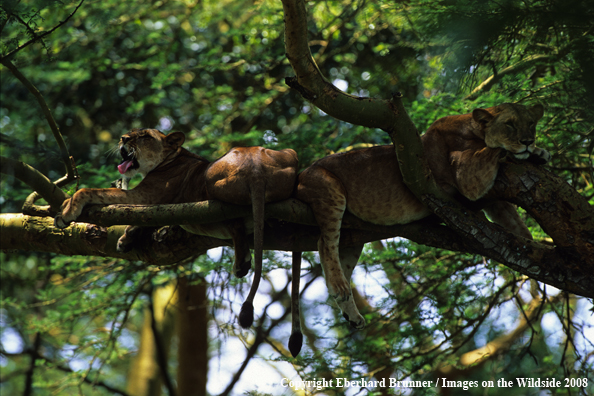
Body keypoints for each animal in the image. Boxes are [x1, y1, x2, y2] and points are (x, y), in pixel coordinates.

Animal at [55, 127, 296, 328]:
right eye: (131, 132)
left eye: (144, 136)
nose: (123, 138)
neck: (168, 159)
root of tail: (257, 170)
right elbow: (143, 222)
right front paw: (125, 240)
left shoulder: (144, 197)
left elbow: (90, 190)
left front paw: (66, 211)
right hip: (290, 153)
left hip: (212, 178)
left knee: (234, 217)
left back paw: (241, 262)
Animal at [286, 102, 544, 356]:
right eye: (509, 124)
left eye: (531, 123)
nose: (528, 141)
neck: (475, 130)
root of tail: (300, 175)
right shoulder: (465, 176)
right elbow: (492, 154)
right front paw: (530, 152)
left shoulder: (495, 201)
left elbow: (516, 224)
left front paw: (533, 254)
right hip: (331, 190)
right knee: (324, 243)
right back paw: (340, 288)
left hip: (353, 238)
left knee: (339, 264)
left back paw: (352, 314)